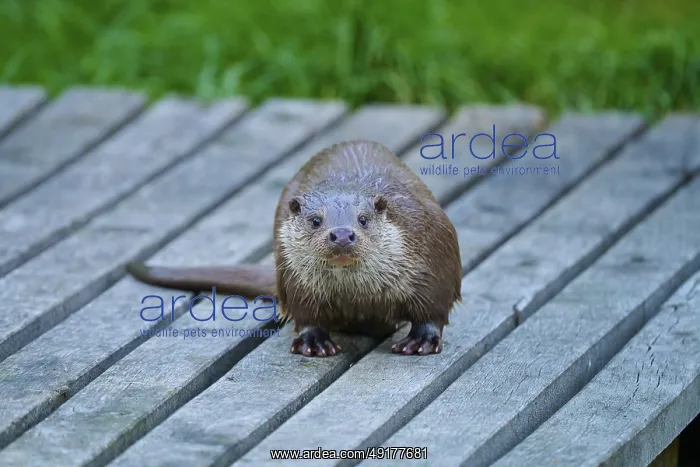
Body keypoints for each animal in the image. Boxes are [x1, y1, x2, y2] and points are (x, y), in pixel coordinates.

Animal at [127, 140, 463, 357]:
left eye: (363, 219)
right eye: (316, 220)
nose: (342, 234)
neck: (358, 292)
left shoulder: (433, 255)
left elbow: (433, 307)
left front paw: (420, 340)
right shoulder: (296, 281)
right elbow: (305, 312)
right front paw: (314, 342)